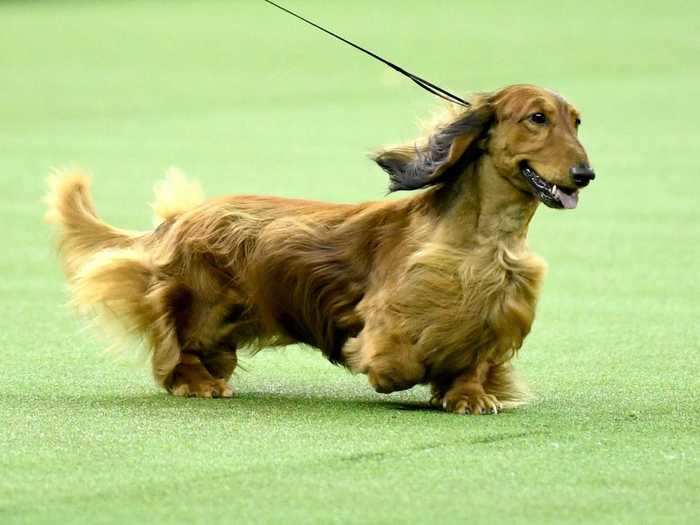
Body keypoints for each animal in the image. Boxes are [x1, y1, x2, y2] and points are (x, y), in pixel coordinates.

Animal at [45, 84, 592, 414]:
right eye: (537, 118)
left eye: (577, 122)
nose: (585, 173)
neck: (485, 240)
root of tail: (179, 220)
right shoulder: (390, 314)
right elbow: (399, 361)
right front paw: (397, 376)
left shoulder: (497, 312)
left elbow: (474, 361)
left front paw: (469, 394)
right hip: (203, 304)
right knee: (174, 347)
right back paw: (197, 383)